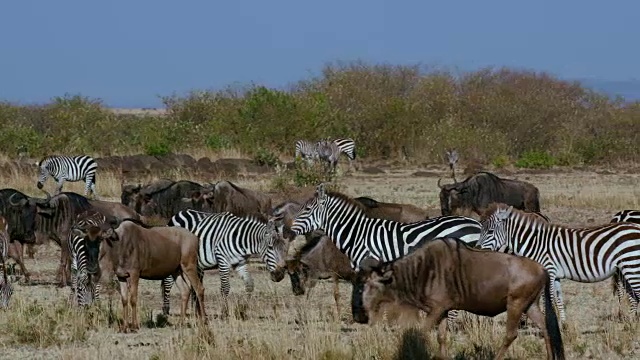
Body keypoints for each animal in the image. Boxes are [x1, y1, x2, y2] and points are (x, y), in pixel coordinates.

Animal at [480, 202, 640, 320]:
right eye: (481, 230)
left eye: (490, 232)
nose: (477, 249)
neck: (536, 243)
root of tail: (634, 227)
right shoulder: (555, 275)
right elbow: (558, 298)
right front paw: (563, 325)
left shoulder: (549, 270)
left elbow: (548, 299)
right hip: (625, 268)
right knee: (632, 294)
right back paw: (630, 323)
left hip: (631, 265)